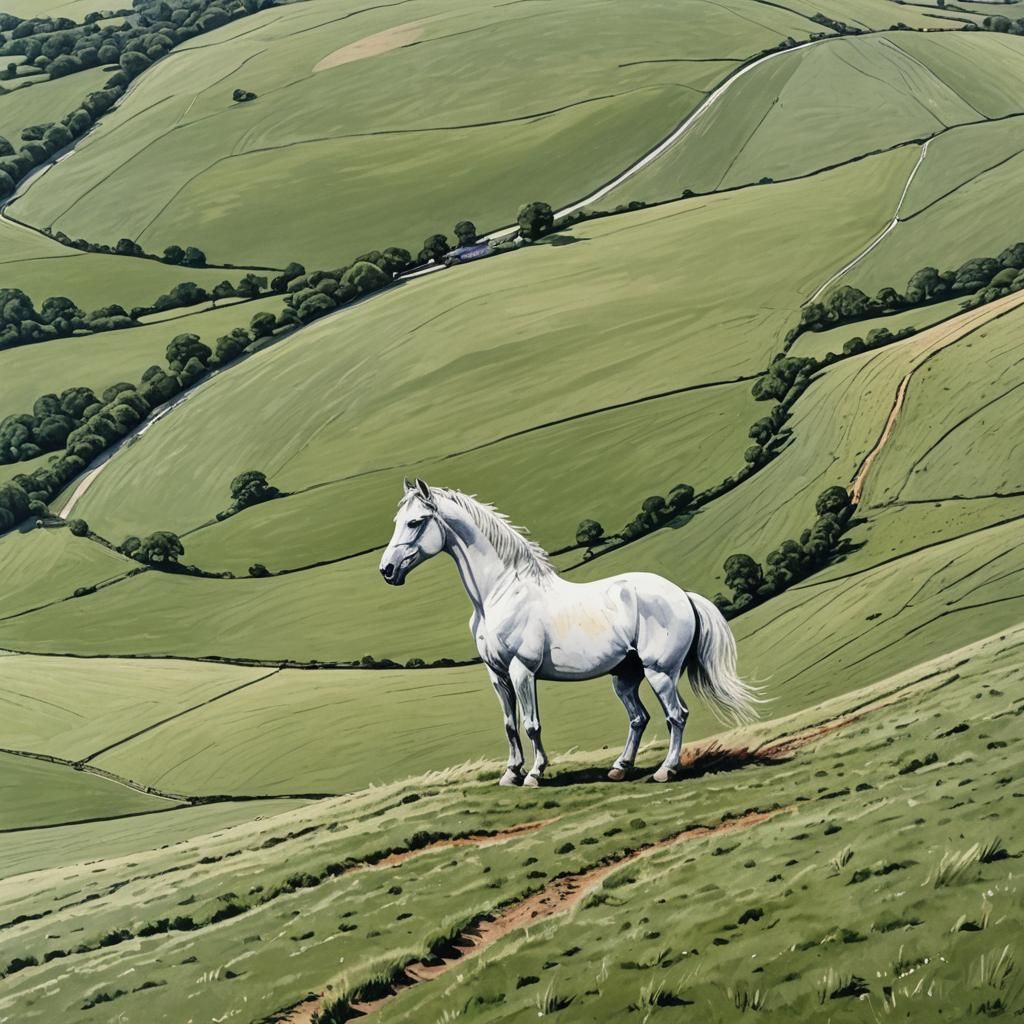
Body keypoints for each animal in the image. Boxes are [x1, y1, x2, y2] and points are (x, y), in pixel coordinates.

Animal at [379, 479, 760, 786]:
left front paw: (534, 774)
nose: (387, 570)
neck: (501, 593)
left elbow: (531, 723)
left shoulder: (521, 670)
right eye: (396, 522)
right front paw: (510, 773)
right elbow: (509, 725)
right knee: (639, 718)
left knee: (676, 715)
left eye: (415, 522)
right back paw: (619, 768)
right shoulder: (497, 675)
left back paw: (665, 770)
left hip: (660, 672)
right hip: (625, 676)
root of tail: (683, 594)